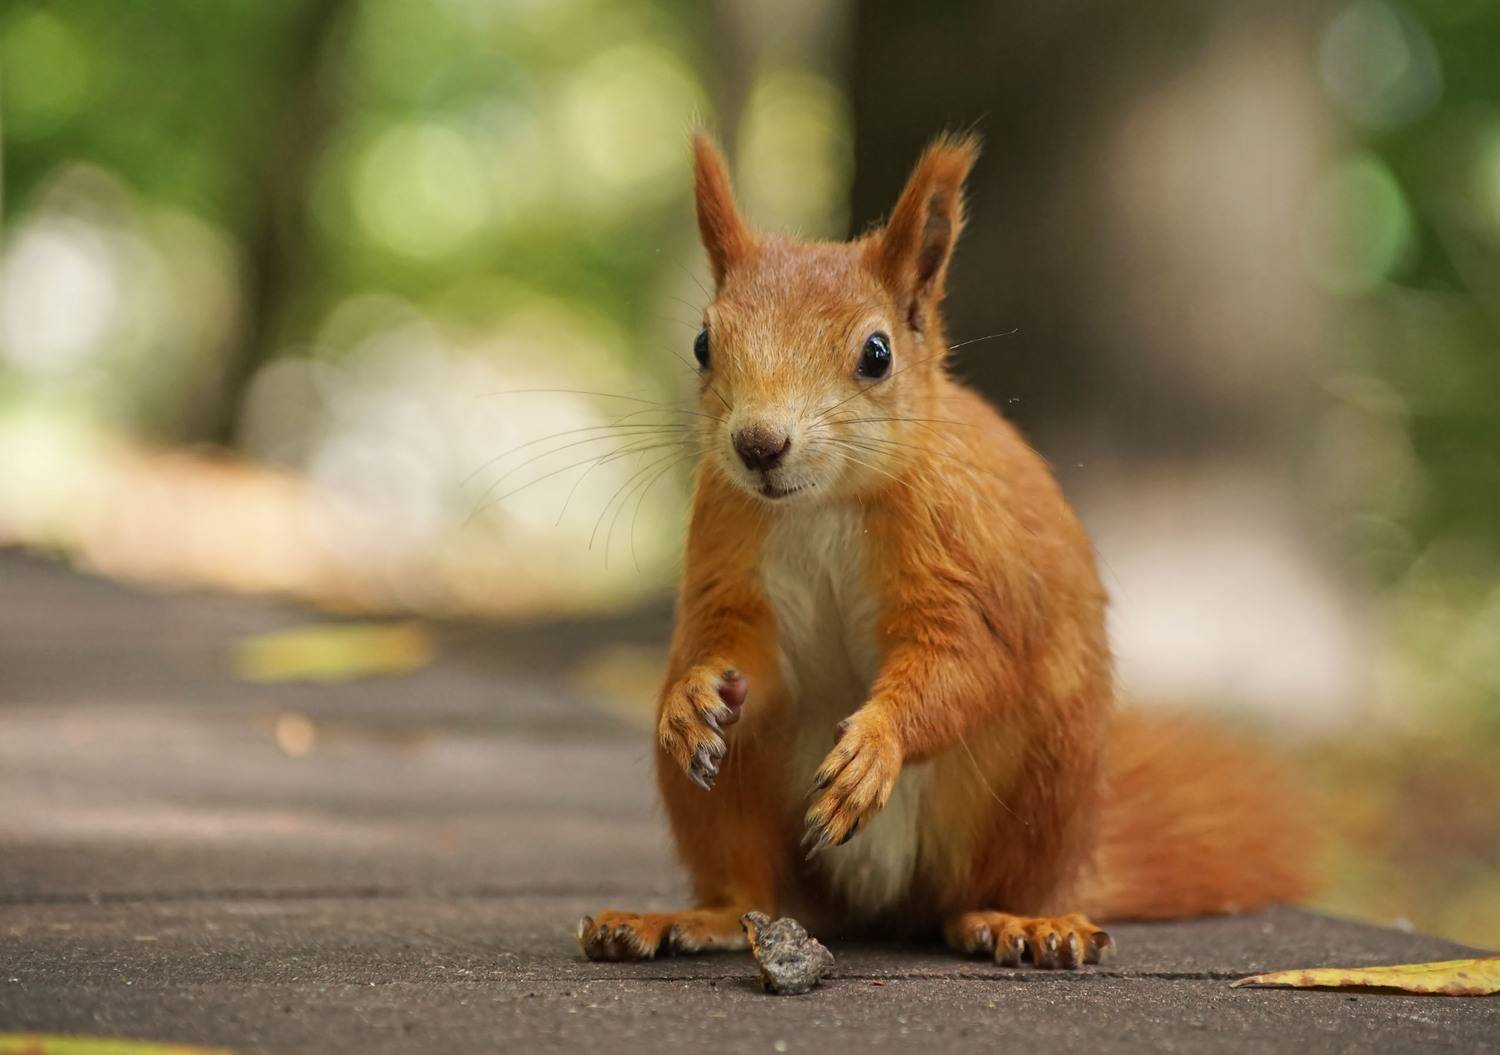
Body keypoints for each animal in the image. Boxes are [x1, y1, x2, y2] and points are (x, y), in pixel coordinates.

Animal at [577, 131, 1313, 968]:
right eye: (703, 343)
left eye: (876, 353)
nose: (759, 445)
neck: (822, 504)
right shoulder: (731, 545)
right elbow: (740, 652)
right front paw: (696, 695)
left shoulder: (961, 551)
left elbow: (965, 657)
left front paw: (876, 745)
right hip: (731, 797)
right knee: (750, 891)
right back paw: (683, 917)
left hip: (1038, 776)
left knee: (970, 896)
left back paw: (1019, 921)